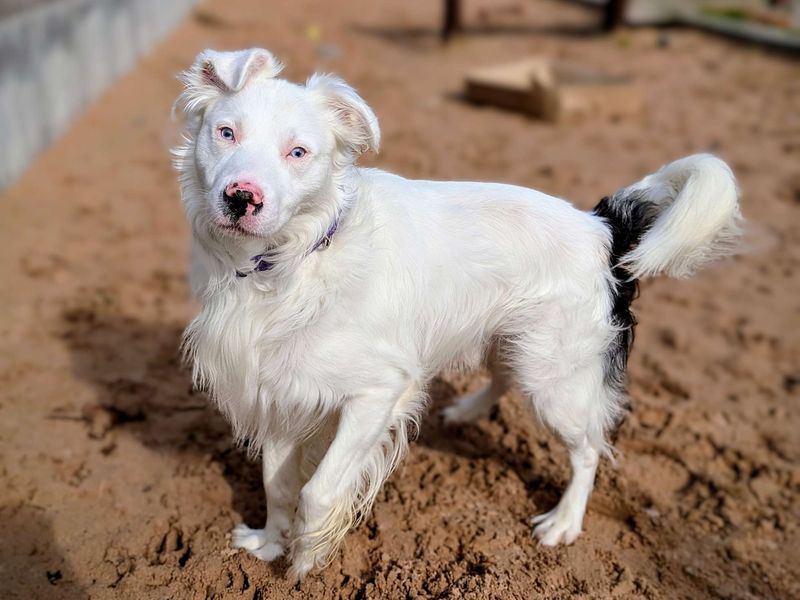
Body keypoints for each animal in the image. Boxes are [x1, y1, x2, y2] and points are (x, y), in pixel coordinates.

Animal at [175, 49, 744, 580]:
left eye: (298, 152)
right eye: (226, 133)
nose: (241, 198)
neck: (290, 263)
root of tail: (601, 227)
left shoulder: (377, 393)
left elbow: (319, 490)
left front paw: (305, 563)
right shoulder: (272, 391)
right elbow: (277, 484)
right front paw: (271, 544)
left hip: (553, 380)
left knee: (587, 450)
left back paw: (564, 521)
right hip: (511, 343)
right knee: (504, 378)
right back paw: (467, 411)